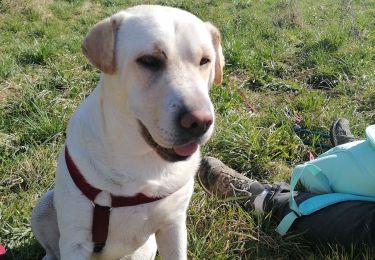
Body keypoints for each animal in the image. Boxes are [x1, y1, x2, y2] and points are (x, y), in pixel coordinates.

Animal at [31, 4, 223, 260]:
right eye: (149, 61)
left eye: (205, 61)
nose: (200, 122)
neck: (139, 160)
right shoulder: (75, 242)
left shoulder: (173, 226)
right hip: (43, 207)